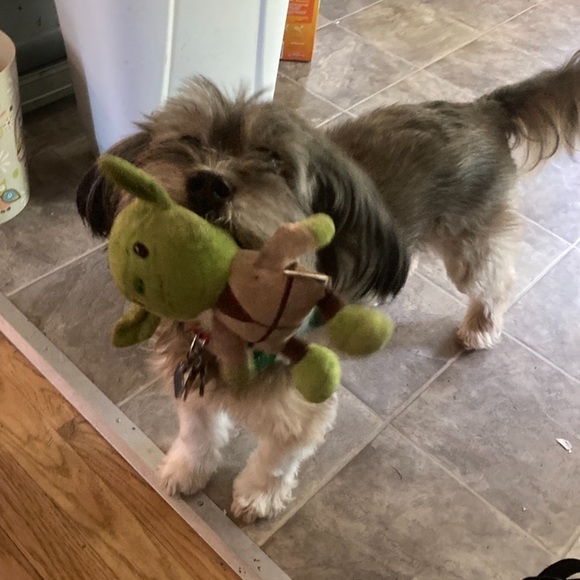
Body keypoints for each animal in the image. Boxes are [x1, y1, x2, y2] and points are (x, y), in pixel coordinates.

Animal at [77, 51, 579, 522]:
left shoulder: (302, 406)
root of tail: (483, 107)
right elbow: (197, 431)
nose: (208, 183)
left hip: (467, 248)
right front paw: (187, 469)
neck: (225, 317)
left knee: (497, 277)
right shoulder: (192, 378)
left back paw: (481, 325)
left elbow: (277, 458)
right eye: (189, 140)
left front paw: (257, 496)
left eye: (273, 161)